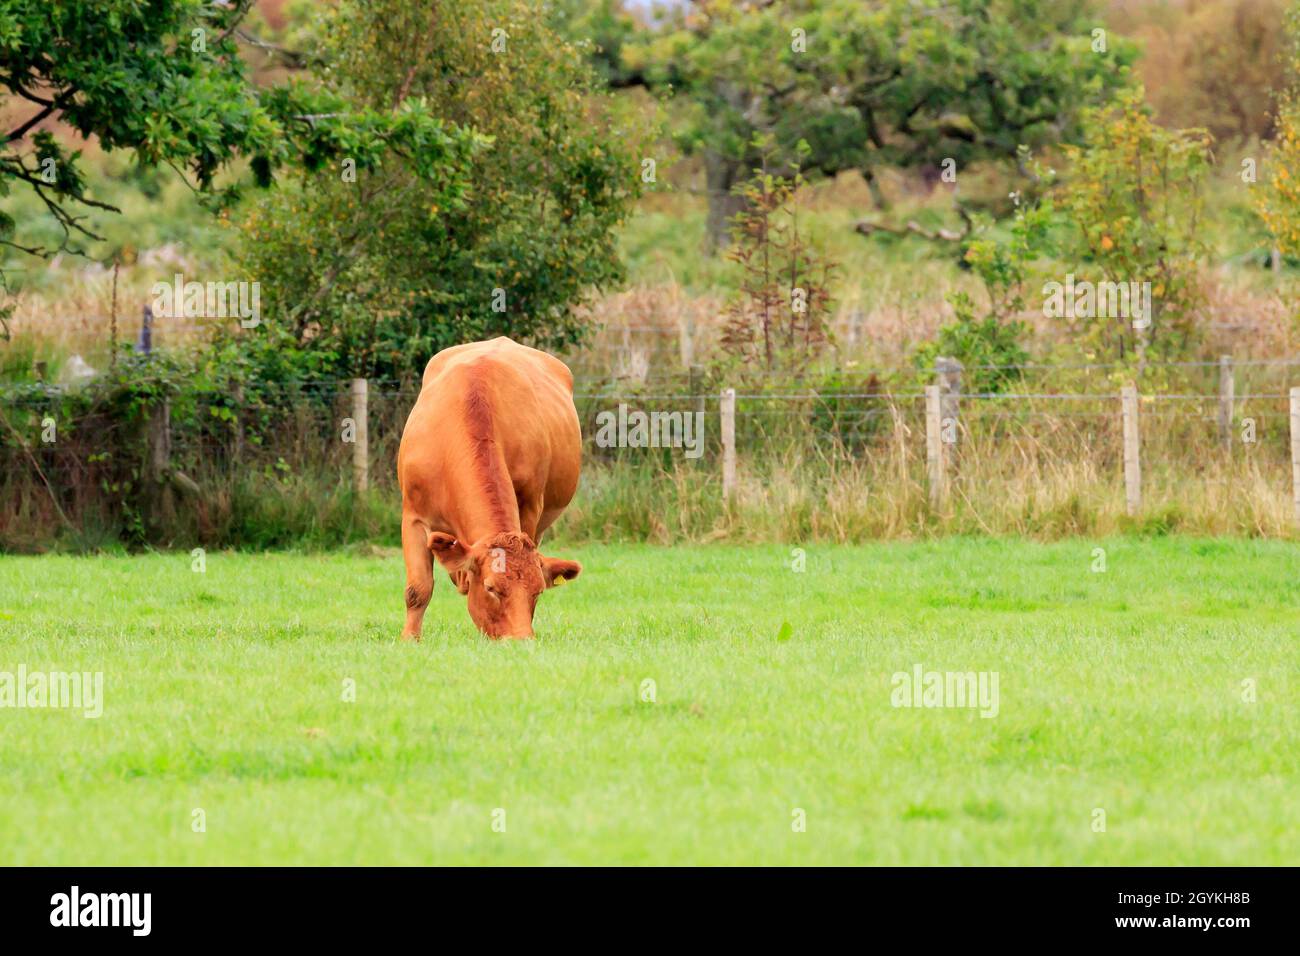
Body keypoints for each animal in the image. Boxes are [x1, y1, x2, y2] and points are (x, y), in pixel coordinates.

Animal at [397, 337, 583, 640]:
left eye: (538, 592)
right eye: (490, 588)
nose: (521, 639)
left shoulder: (530, 507)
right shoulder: (413, 516)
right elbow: (418, 589)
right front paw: (409, 639)